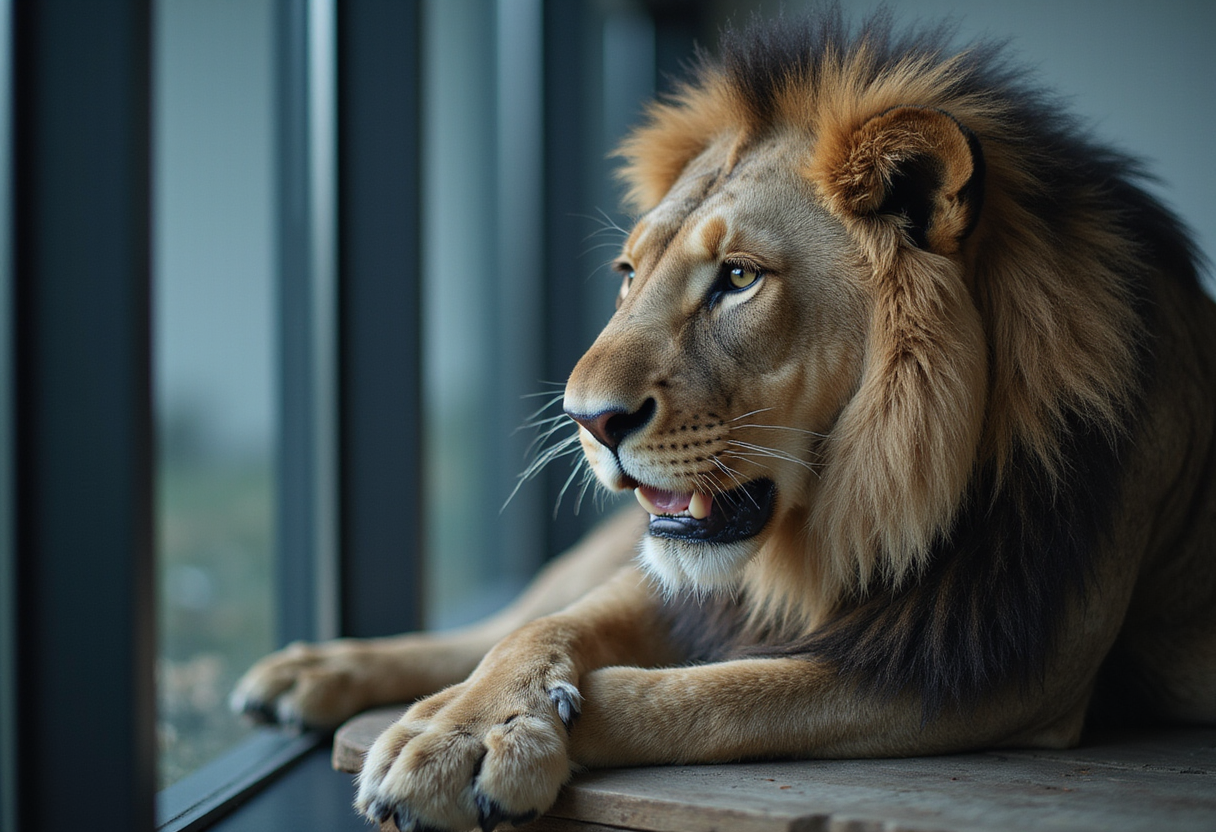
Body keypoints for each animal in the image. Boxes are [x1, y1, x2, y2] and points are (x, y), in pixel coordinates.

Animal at [232, 11, 1216, 832]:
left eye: (738, 278)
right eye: (629, 273)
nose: (588, 420)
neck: (853, 513)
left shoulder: (998, 665)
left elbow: (707, 695)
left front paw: (503, 734)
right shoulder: (704, 583)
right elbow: (541, 630)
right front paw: (463, 725)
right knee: (508, 615)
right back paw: (314, 672)